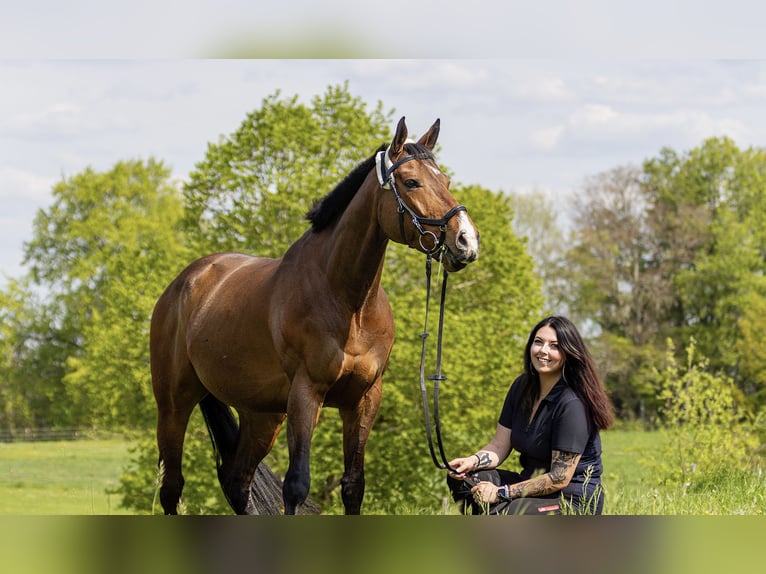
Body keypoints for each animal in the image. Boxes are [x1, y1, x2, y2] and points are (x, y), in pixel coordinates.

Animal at [150, 115, 480, 516]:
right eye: (411, 182)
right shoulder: (306, 393)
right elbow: (296, 485)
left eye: (445, 181)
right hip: (174, 404)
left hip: (262, 414)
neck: (348, 302)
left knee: (237, 481)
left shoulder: (363, 400)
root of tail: (186, 281)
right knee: (172, 486)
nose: (466, 240)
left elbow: (353, 485)